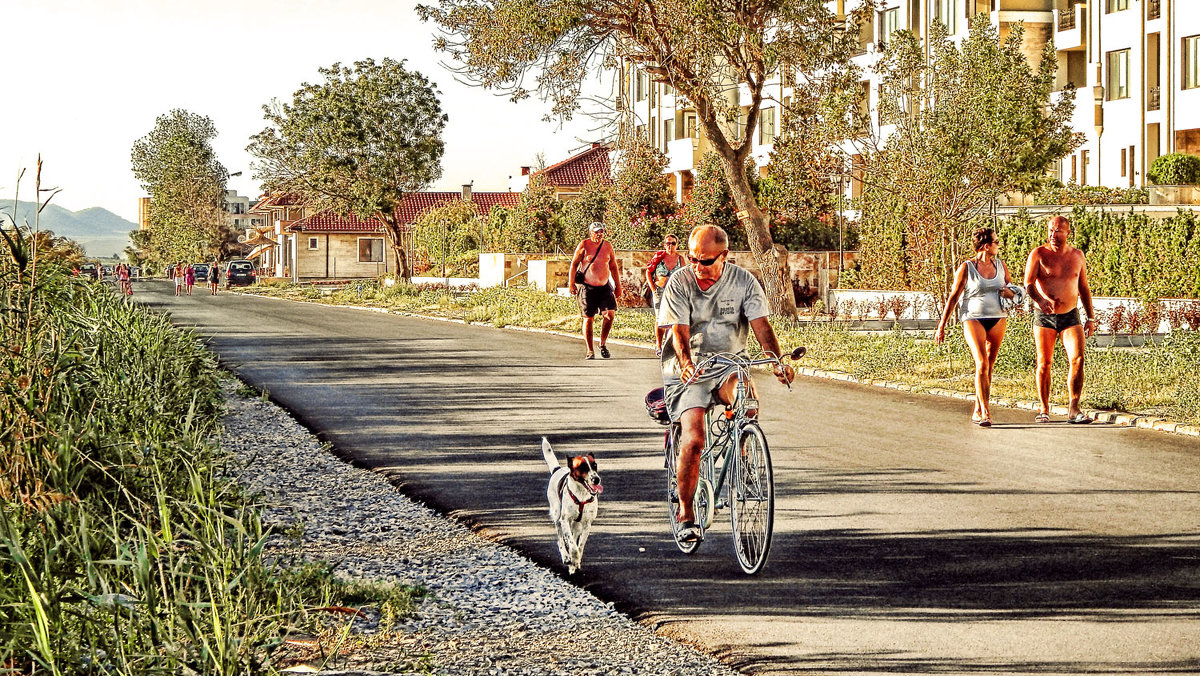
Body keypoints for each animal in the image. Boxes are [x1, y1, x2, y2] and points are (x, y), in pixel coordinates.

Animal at [542, 437, 604, 573]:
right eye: (582, 467)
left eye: (595, 465)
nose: (596, 479)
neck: (581, 495)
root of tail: (557, 469)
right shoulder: (564, 520)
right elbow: (572, 546)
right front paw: (572, 560)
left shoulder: (587, 524)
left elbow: (579, 546)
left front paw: (576, 562)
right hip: (557, 516)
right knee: (560, 539)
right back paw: (566, 557)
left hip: (577, 525)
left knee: (573, 537)